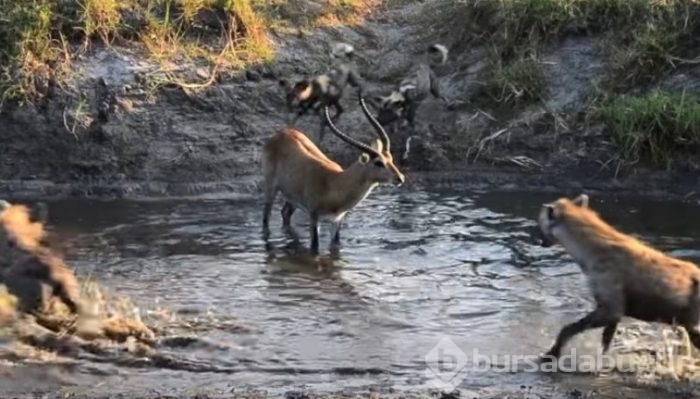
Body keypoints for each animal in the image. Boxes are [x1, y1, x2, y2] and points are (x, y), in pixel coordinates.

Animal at [536, 195, 700, 360]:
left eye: (539, 221)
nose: (539, 241)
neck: (587, 255)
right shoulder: (615, 309)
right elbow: (606, 341)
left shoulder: (610, 304)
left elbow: (569, 329)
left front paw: (550, 354)